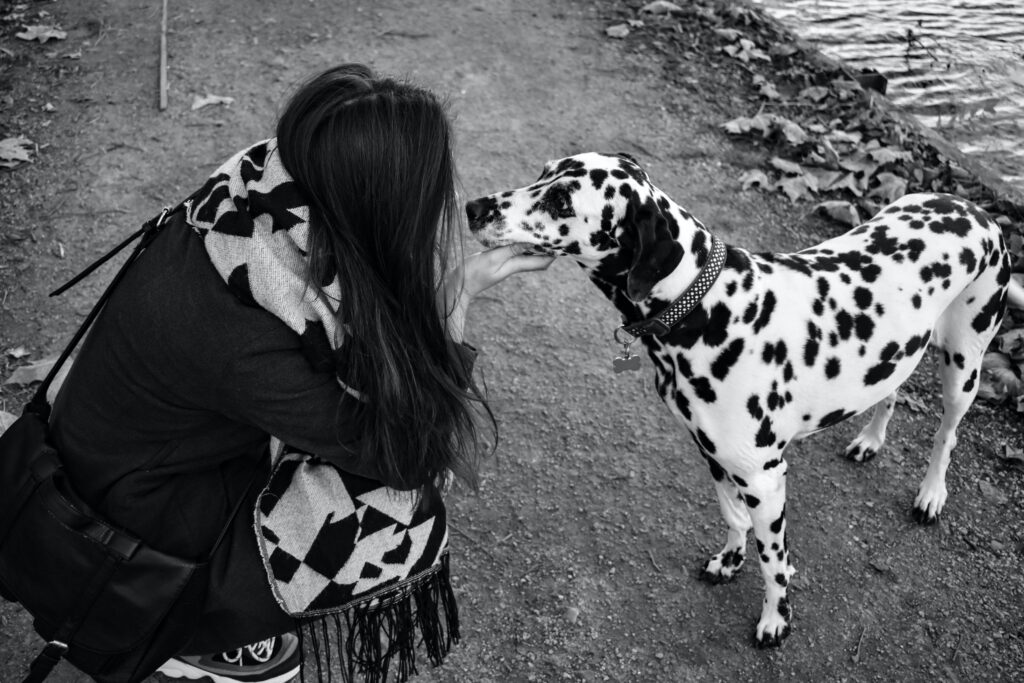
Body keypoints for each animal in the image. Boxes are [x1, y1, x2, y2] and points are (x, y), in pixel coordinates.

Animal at [466, 152, 1024, 651]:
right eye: (542, 173)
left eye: (562, 198)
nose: (473, 207)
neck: (708, 306)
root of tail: (976, 210)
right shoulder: (715, 457)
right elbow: (734, 519)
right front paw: (730, 560)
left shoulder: (764, 477)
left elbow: (773, 559)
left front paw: (777, 619)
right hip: (898, 353)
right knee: (890, 392)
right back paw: (869, 439)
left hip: (963, 364)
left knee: (946, 435)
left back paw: (931, 494)